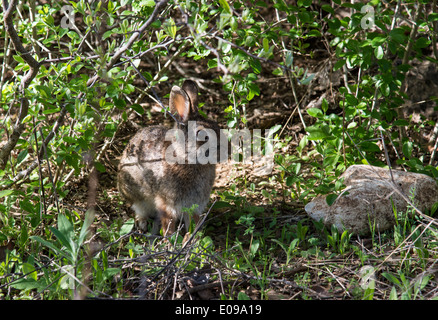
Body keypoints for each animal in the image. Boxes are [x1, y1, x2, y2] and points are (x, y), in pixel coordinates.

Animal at [116, 79, 221, 235]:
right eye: (203, 135)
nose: (228, 149)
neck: (187, 159)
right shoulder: (167, 204)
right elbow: (168, 224)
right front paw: (170, 239)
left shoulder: (194, 205)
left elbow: (193, 223)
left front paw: (192, 238)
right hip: (135, 195)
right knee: (139, 209)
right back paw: (142, 224)